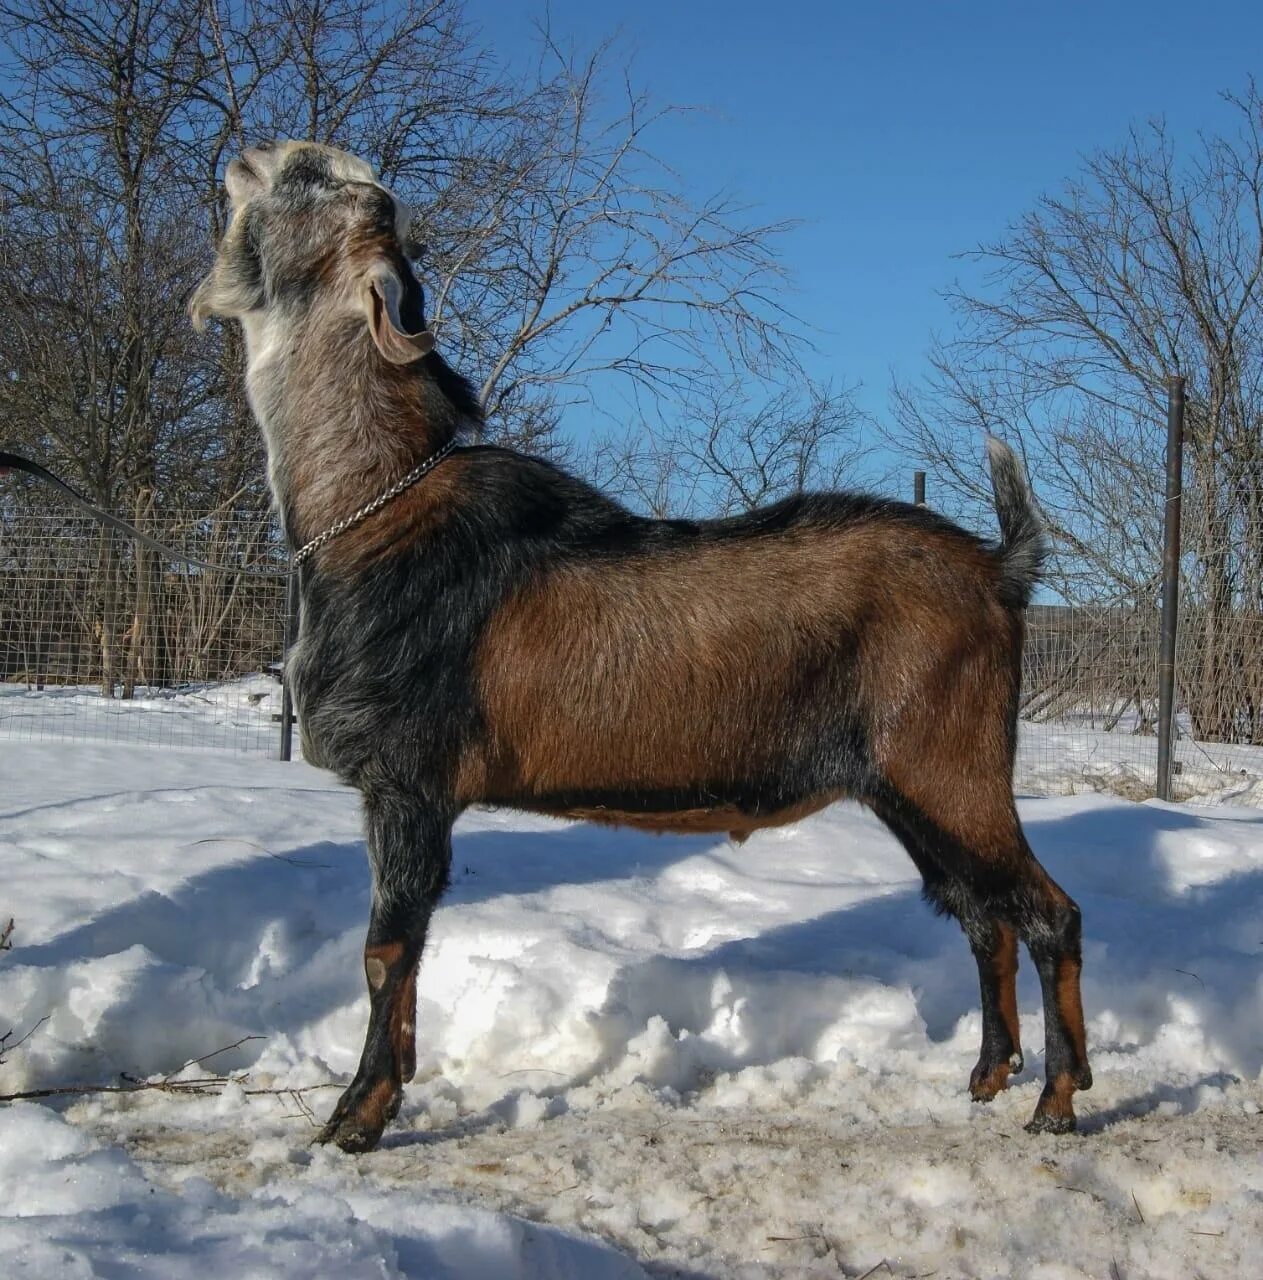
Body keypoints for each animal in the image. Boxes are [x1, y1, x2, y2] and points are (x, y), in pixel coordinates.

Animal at [193, 145, 1090, 1157]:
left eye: (324, 184)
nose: (260, 153)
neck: (376, 510)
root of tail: (1000, 569)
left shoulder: (408, 781)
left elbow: (387, 952)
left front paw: (355, 1119)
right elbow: (401, 958)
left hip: (951, 765)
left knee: (1047, 914)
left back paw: (1056, 1100)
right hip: (910, 788)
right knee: (982, 918)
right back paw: (986, 1076)